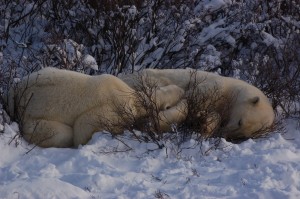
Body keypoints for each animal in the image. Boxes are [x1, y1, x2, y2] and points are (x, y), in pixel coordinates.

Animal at [8, 68, 186, 148]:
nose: (183, 92)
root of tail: (15, 94)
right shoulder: (113, 107)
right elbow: (82, 128)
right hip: (33, 121)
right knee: (62, 133)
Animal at [120, 69, 276, 141]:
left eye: (242, 136)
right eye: (240, 122)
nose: (223, 134)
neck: (231, 91)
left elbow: (212, 116)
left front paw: (205, 125)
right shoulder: (213, 86)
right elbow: (189, 100)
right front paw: (156, 122)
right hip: (141, 79)